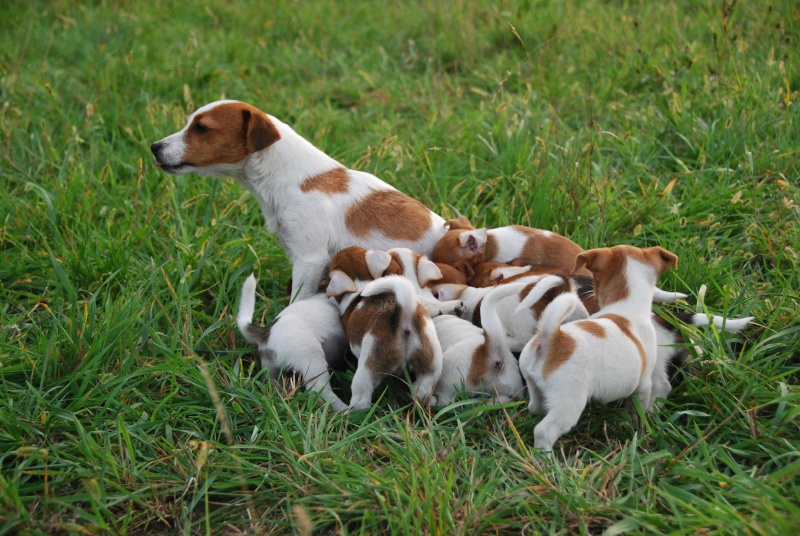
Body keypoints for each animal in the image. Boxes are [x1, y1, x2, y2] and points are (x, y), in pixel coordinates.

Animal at [516, 246, 680, 452]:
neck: (626, 306)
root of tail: (551, 336)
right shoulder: (643, 385)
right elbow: (638, 411)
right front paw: (640, 431)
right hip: (569, 402)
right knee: (544, 431)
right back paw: (544, 457)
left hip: (534, 384)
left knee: (535, 408)